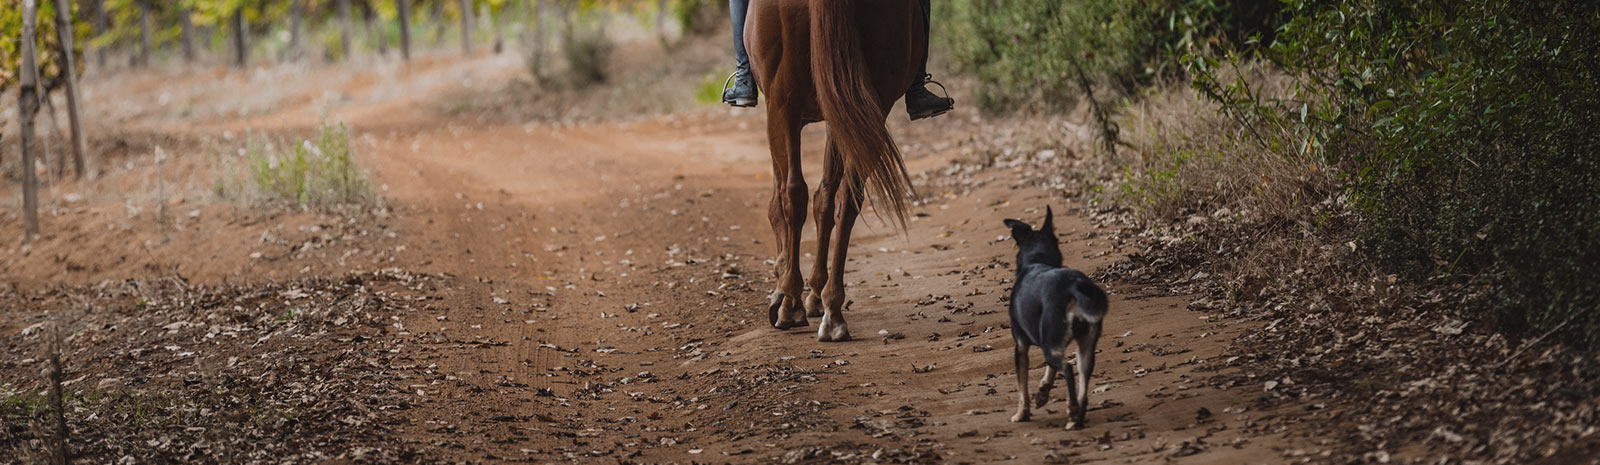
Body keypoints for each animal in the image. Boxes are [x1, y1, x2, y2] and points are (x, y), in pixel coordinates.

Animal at [739, 0, 921, 341]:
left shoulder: (780, 110)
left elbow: (781, 200)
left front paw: (783, 286)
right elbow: (824, 198)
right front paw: (813, 293)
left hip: (784, 104)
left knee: (793, 194)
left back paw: (790, 304)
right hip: (870, 105)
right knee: (846, 200)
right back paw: (832, 311)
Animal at [1004, 207, 1107, 431]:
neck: (1038, 260)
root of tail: (1074, 288)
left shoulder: (1021, 347)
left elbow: (1022, 388)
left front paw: (1021, 414)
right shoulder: (1049, 341)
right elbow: (1048, 371)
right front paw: (1043, 392)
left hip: (1052, 344)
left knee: (1067, 368)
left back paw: (1072, 411)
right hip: (1084, 347)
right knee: (1082, 381)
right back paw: (1076, 416)